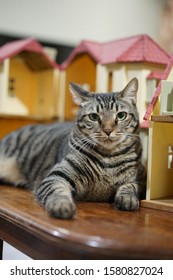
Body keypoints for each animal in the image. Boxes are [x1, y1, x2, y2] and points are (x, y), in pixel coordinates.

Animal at [0, 77, 146, 219]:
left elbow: (131, 185)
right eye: (93, 116)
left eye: (121, 115)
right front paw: (62, 205)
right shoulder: (56, 176)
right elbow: (57, 191)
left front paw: (128, 198)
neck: (108, 158)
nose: (108, 130)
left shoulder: (141, 177)